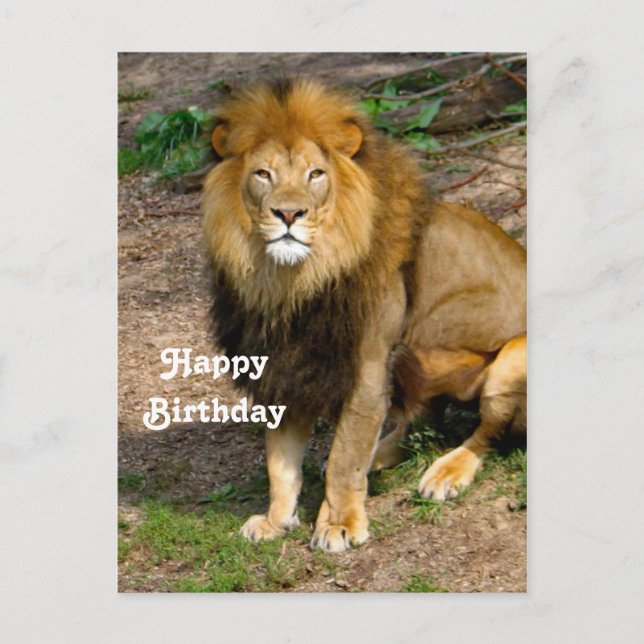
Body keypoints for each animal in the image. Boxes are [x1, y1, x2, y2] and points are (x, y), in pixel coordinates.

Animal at [202, 78, 526, 553]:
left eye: (315, 174)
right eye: (263, 174)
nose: (288, 213)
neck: (291, 282)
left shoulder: (368, 367)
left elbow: (344, 456)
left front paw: (338, 524)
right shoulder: (288, 367)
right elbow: (279, 461)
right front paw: (276, 520)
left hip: (509, 363)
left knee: (488, 435)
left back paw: (447, 472)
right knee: (420, 420)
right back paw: (385, 456)